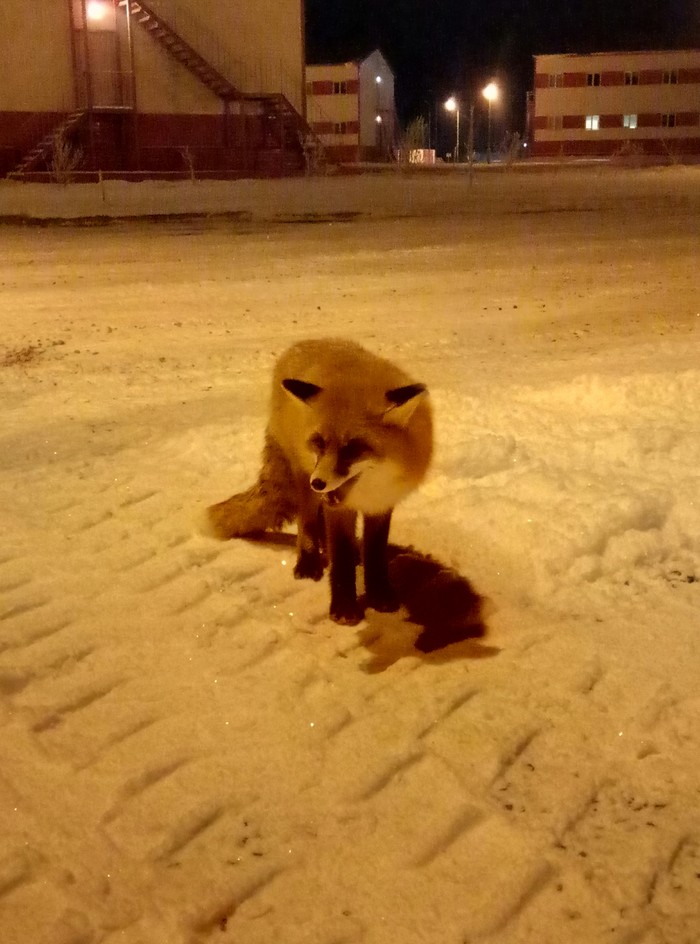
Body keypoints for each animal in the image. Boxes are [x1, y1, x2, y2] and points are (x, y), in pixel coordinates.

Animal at [205, 340, 432, 628]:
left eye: (353, 448)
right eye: (319, 443)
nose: (319, 482)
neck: (369, 490)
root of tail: (307, 343)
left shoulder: (382, 503)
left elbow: (374, 552)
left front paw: (380, 595)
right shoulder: (338, 507)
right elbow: (341, 557)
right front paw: (344, 609)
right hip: (303, 479)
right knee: (309, 522)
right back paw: (309, 561)